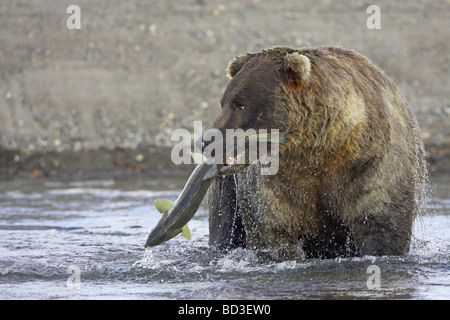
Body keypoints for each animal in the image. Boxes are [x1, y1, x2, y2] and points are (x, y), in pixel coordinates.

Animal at [200, 46, 426, 258]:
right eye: (224, 102)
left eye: (240, 104)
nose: (204, 141)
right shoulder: (278, 183)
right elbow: (274, 232)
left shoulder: (370, 166)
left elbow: (382, 228)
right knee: (224, 225)